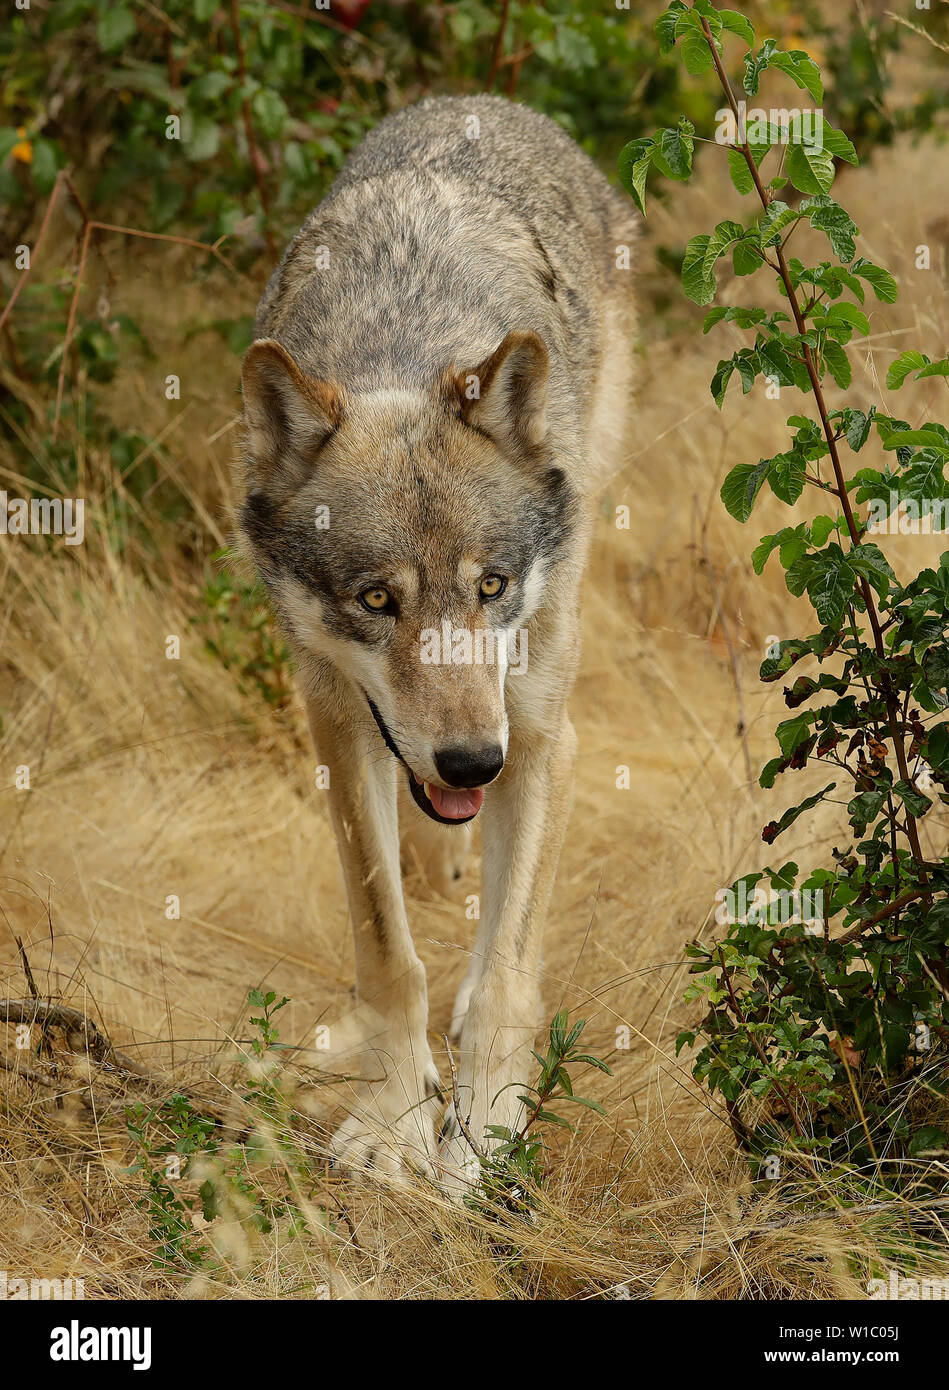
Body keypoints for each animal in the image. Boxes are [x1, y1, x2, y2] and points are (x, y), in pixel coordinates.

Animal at [237, 94, 636, 1189]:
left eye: (490, 586)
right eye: (376, 600)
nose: (468, 761)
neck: (403, 353)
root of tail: (476, 100)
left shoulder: (539, 735)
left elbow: (503, 975)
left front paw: (483, 1135)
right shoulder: (337, 725)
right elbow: (388, 954)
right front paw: (392, 1124)